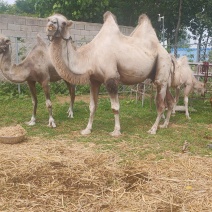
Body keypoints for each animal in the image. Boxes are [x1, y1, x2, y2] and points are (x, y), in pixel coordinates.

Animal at [46, 11, 174, 136]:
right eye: (49, 18)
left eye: (63, 23)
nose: (50, 26)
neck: (90, 56)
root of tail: (169, 54)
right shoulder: (94, 80)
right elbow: (92, 106)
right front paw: (87, 129)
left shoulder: (111, 78)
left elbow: (115, 107)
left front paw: (116, 131)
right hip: (161, 77)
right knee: (170, 101)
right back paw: (165, 124)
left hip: (162, 65)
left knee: (161, 104)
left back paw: (153, 129)